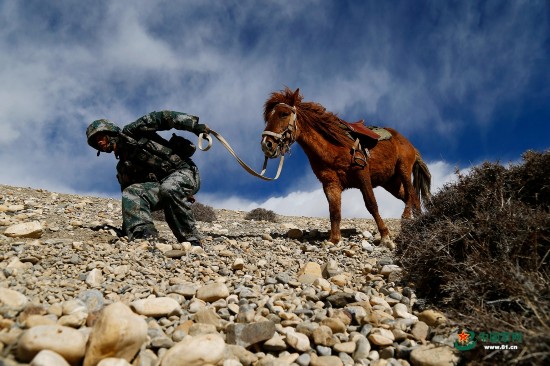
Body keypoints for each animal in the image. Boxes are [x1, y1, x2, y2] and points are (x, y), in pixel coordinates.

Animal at [260, 88, 434, 249]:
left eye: (283, 114)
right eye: (268, 117)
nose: (266, 145)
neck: (334, 147)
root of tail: (409, 144)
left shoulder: (363, 176)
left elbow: (371, 205)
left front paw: (385, 236)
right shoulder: (331, 184)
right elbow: (334, 211)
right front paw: (334, 240)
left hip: (403, 170)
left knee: (412, 194)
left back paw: (408, 218)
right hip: (391, 183)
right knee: (410, 197)